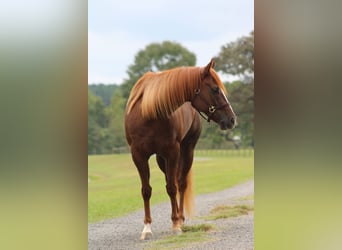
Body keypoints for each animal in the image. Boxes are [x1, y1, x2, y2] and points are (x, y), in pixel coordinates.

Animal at [125, 59, 235, 239]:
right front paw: (147, 227)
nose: (232, 119)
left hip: (187, 151)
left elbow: (172, 188)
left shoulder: (172, 152)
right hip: (161, 159)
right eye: (215, 89)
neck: (149, 113)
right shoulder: (139, 156)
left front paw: (176, 223)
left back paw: (180, 218)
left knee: (181, 183)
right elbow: (146, 190)